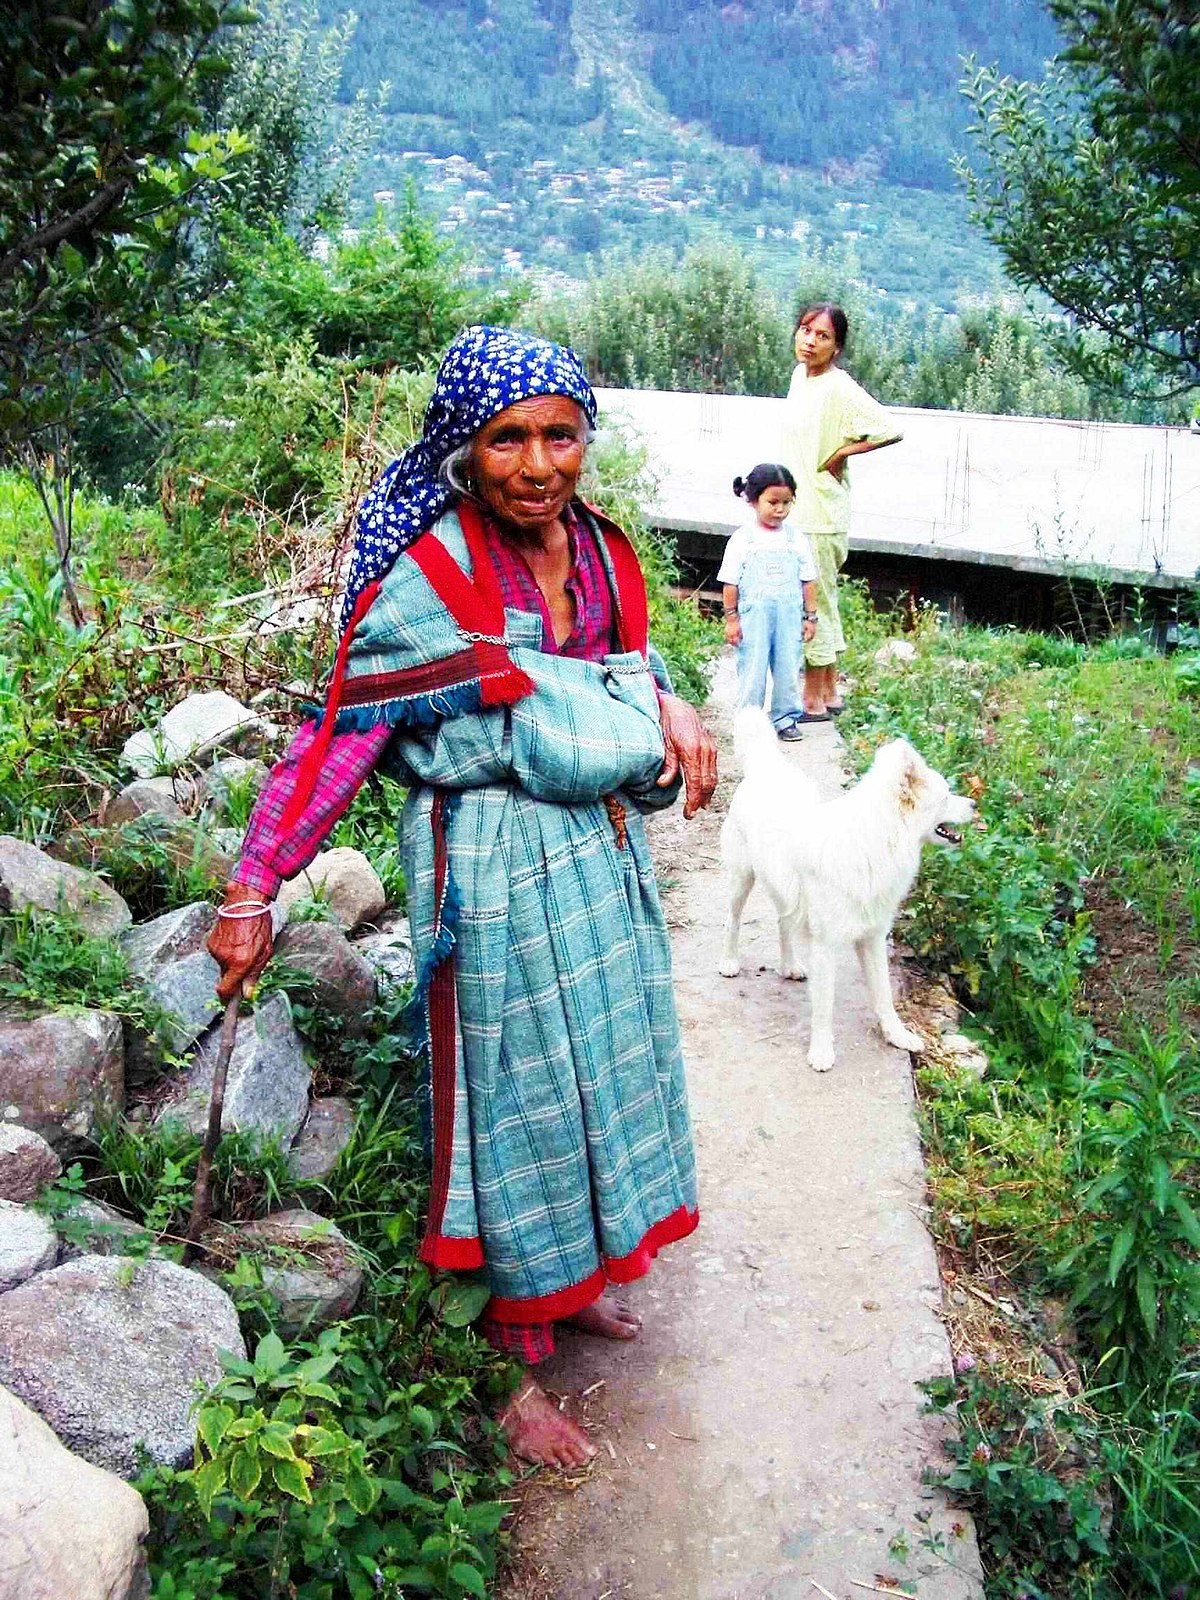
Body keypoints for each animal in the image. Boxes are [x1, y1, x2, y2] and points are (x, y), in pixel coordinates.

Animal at [723, 713, 979, 1075]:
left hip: (784, 891)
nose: (974, 803)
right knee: (732, 920)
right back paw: (730, 961)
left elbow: (884, 995)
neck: (875, 842)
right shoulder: (825, 946)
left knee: (783, 923)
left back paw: (789, 966)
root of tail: (764, 767)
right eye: (945, 795)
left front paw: (897, 1035)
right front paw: (821, 1052)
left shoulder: (872, 938)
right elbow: (824, 1006)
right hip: (741, 879)